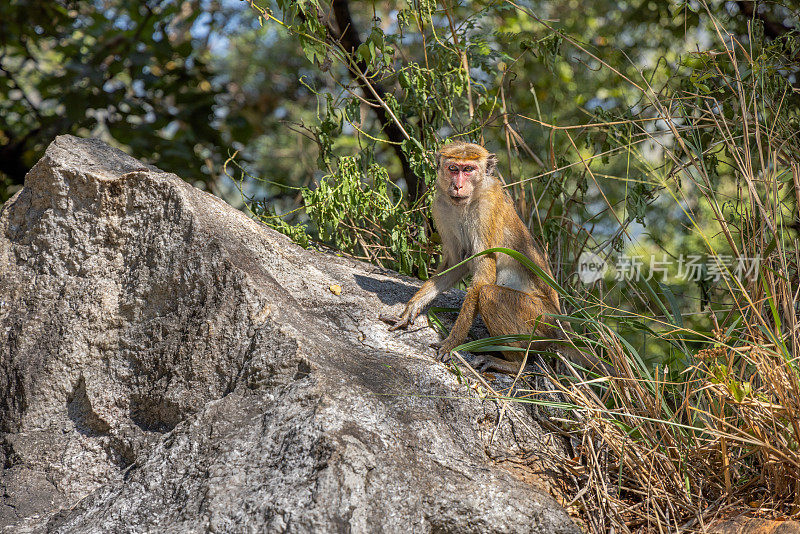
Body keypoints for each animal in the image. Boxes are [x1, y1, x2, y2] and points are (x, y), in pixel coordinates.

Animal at [378, 142, 608, 376]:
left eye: (468, 169)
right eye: (453, 168)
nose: (458, 186)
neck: (468, 200)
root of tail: (563, 327)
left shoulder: (486, 209)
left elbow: (483, 276)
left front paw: (452, 343)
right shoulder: (440, 207)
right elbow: (455, 262)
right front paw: (410, 309)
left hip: (540, 320)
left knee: (490, 294)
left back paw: (514, 364)